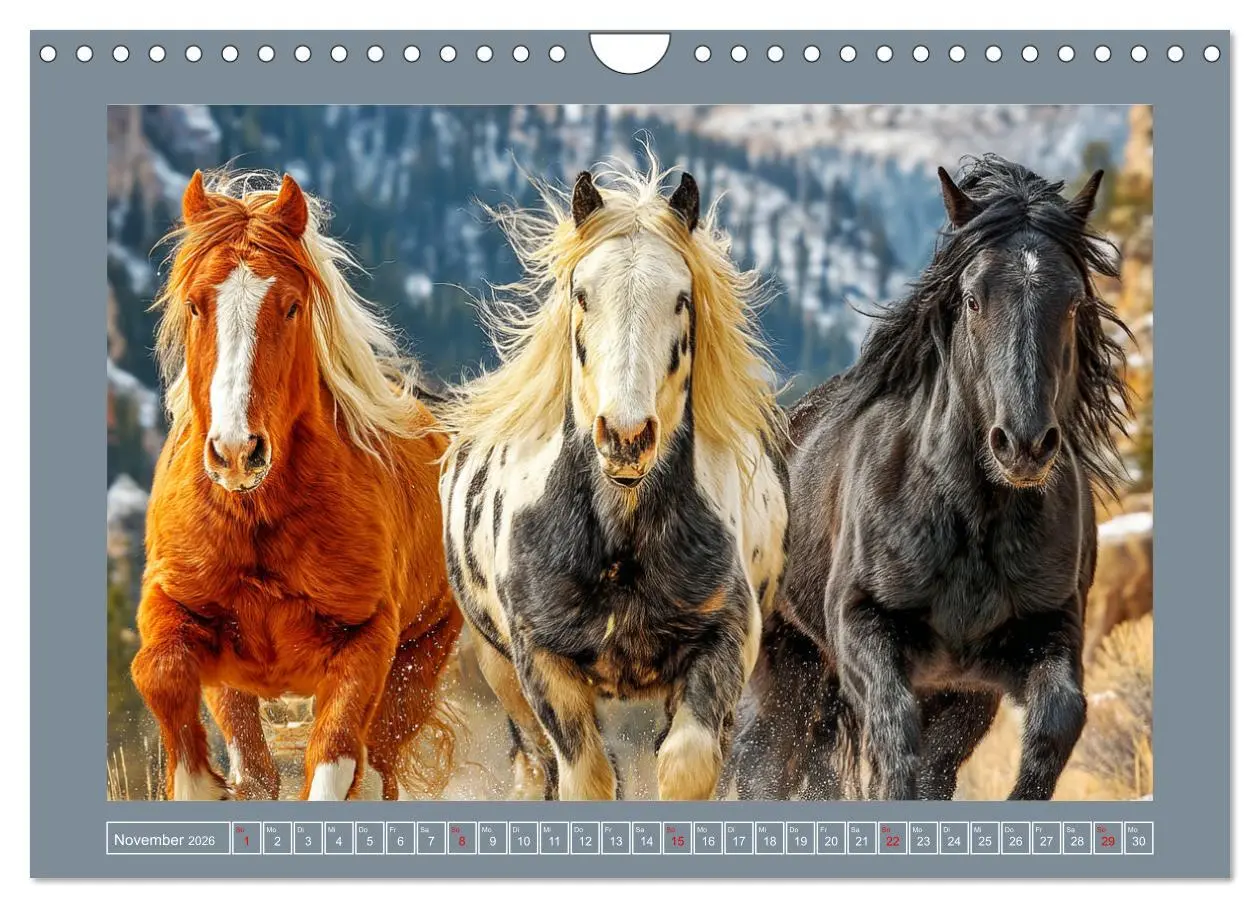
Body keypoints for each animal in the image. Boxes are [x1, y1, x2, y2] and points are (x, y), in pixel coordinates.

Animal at [131, 170, 463, 800]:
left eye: (289, 306)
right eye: (195, 305)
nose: (238, 452)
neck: (257, 516)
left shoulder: (365, 644)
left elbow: (334, 758)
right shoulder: (175, 605)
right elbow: (159, 675)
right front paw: (203, 785)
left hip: (418, 662)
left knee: (376, 767)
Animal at [438, 158, 789, 800]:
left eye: (681, 299)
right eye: (582, 294)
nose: (626, 437)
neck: (620, 540)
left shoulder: (725, 640)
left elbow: (687, 763)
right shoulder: (540, 660)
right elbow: (586, 777)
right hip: (499, 671)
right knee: (536, 766)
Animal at [729, 155, 1132, 801]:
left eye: (1073, 302)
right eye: (972, 300)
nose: (1023, 445)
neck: (971, 521)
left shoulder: (1028, 649)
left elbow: (1057, 726)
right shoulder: (861, 629)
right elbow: (896, 743)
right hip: (788, 668)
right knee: (763, 765)